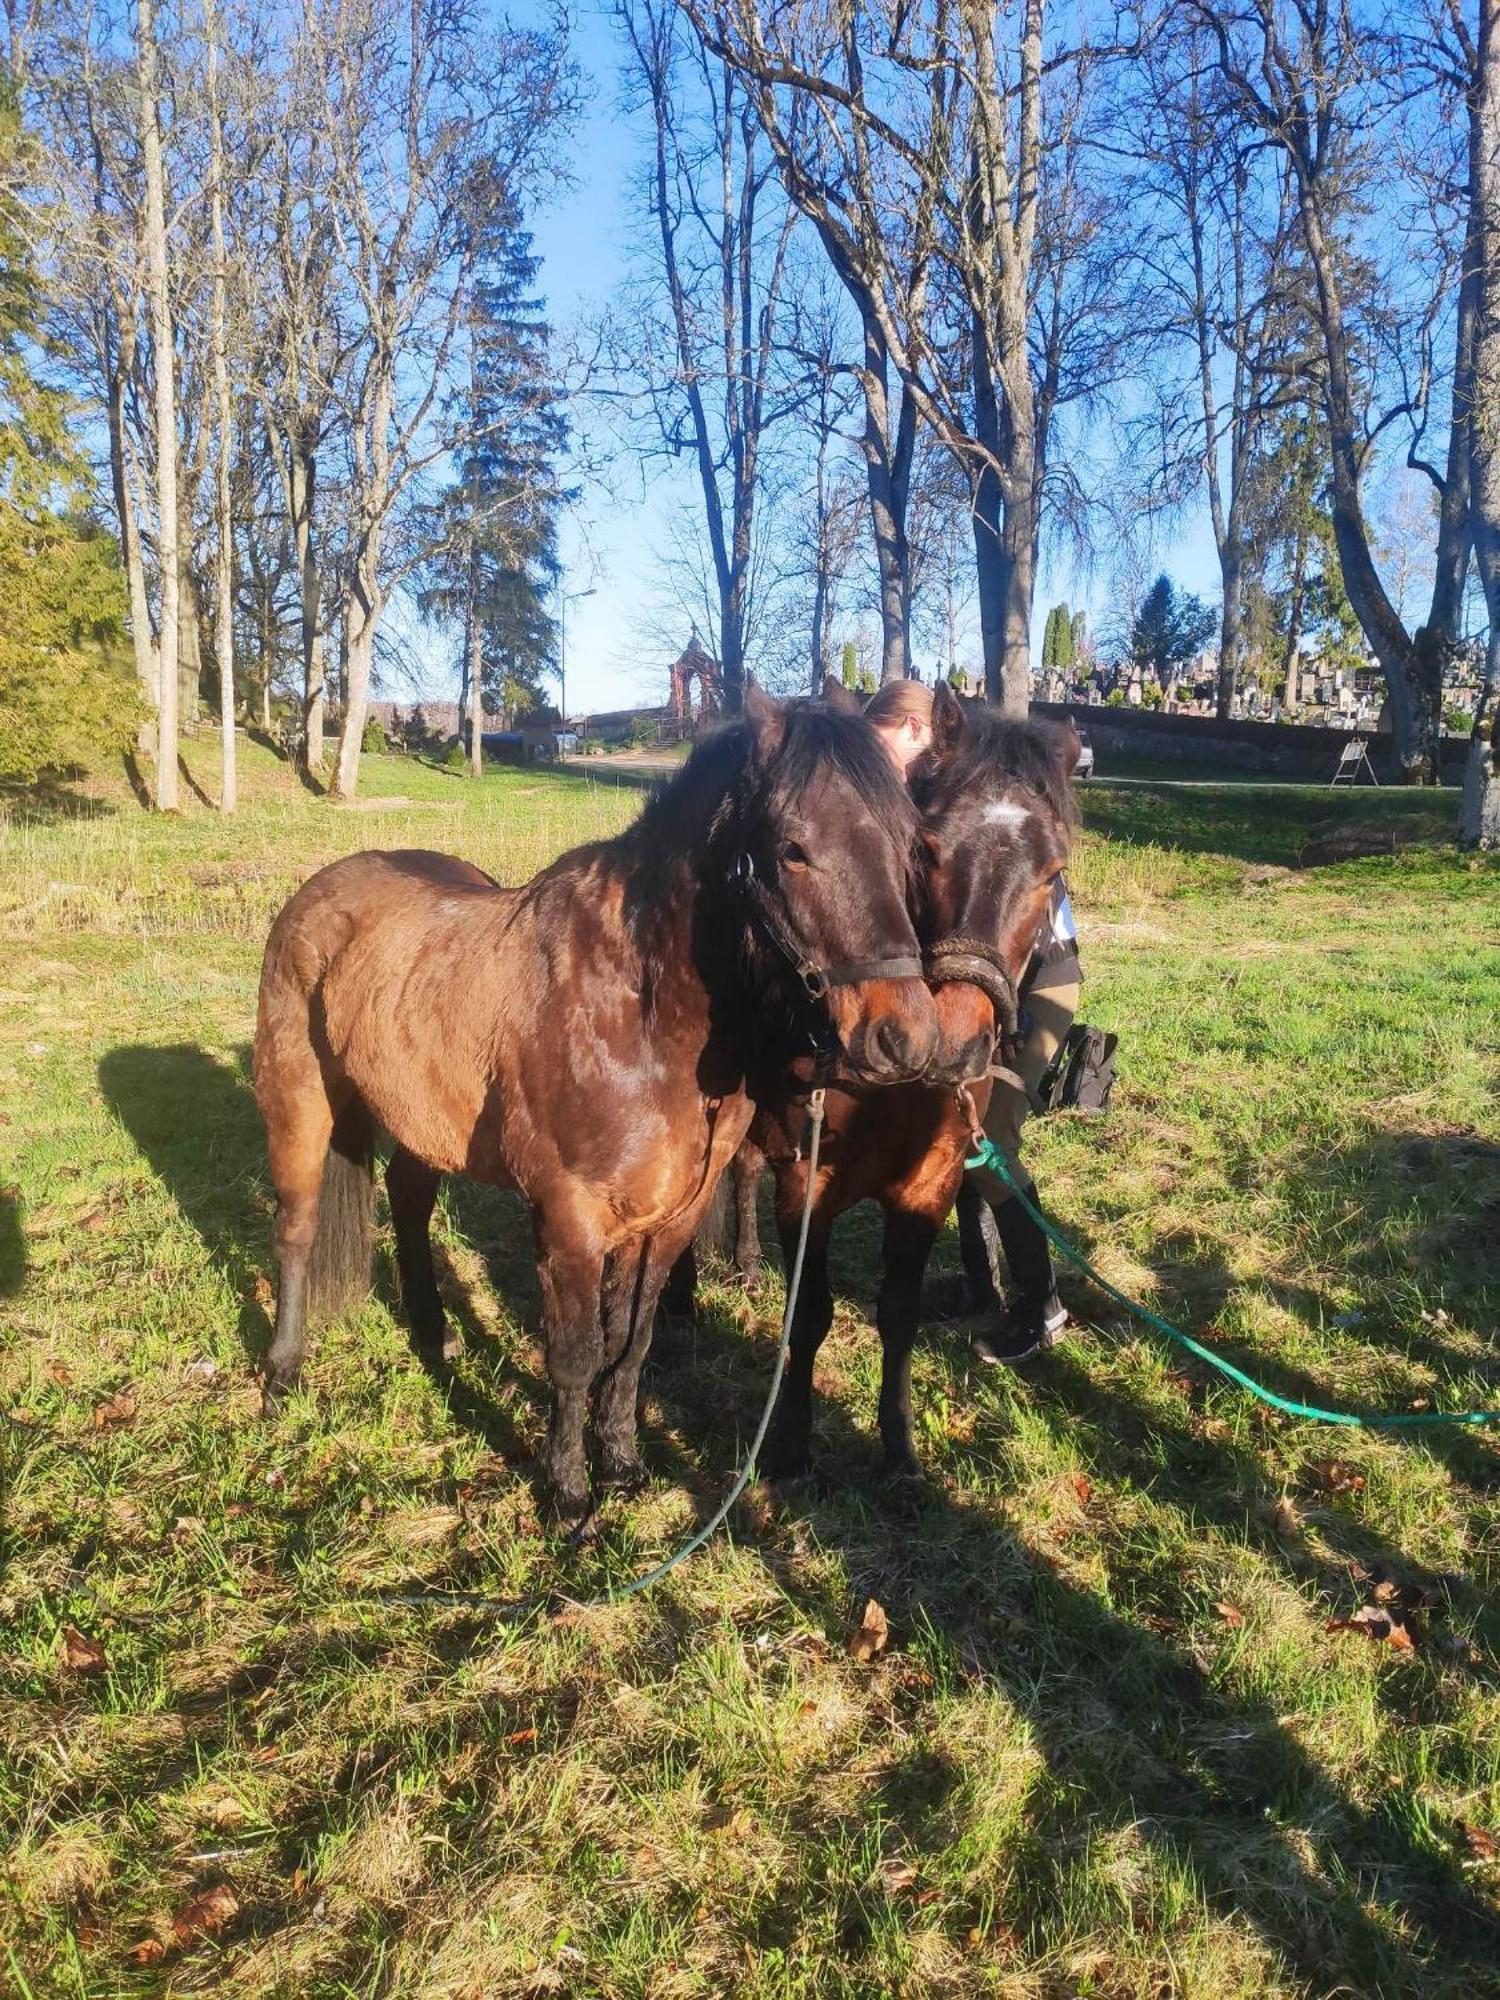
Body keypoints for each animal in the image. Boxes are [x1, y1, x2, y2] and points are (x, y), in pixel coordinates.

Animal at [256, 688, 940, 1512]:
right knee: (296, 1231)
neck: (638, 1013)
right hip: (299, 1101)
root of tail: (319, 891)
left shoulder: (669, 1219)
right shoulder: (570, 1220)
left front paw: (620, 1460)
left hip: (422, 1123)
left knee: (410, 1203)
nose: (902, 1039)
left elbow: (631, 1343)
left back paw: (434, 1336)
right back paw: (282, 1375)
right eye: (792, 849)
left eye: (909, 846)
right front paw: (568, 1493)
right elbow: (575, 1355)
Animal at [668, 688, 1080, 1488]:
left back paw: (744, 1262)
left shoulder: (931, 1181)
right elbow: (810, 1317)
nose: (954, 1039)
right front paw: (792, 1446)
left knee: (742, 1171)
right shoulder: (808, 1182)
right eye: (928, 848)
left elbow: (897, 1313)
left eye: (1052, 871)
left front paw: (900, 1448)